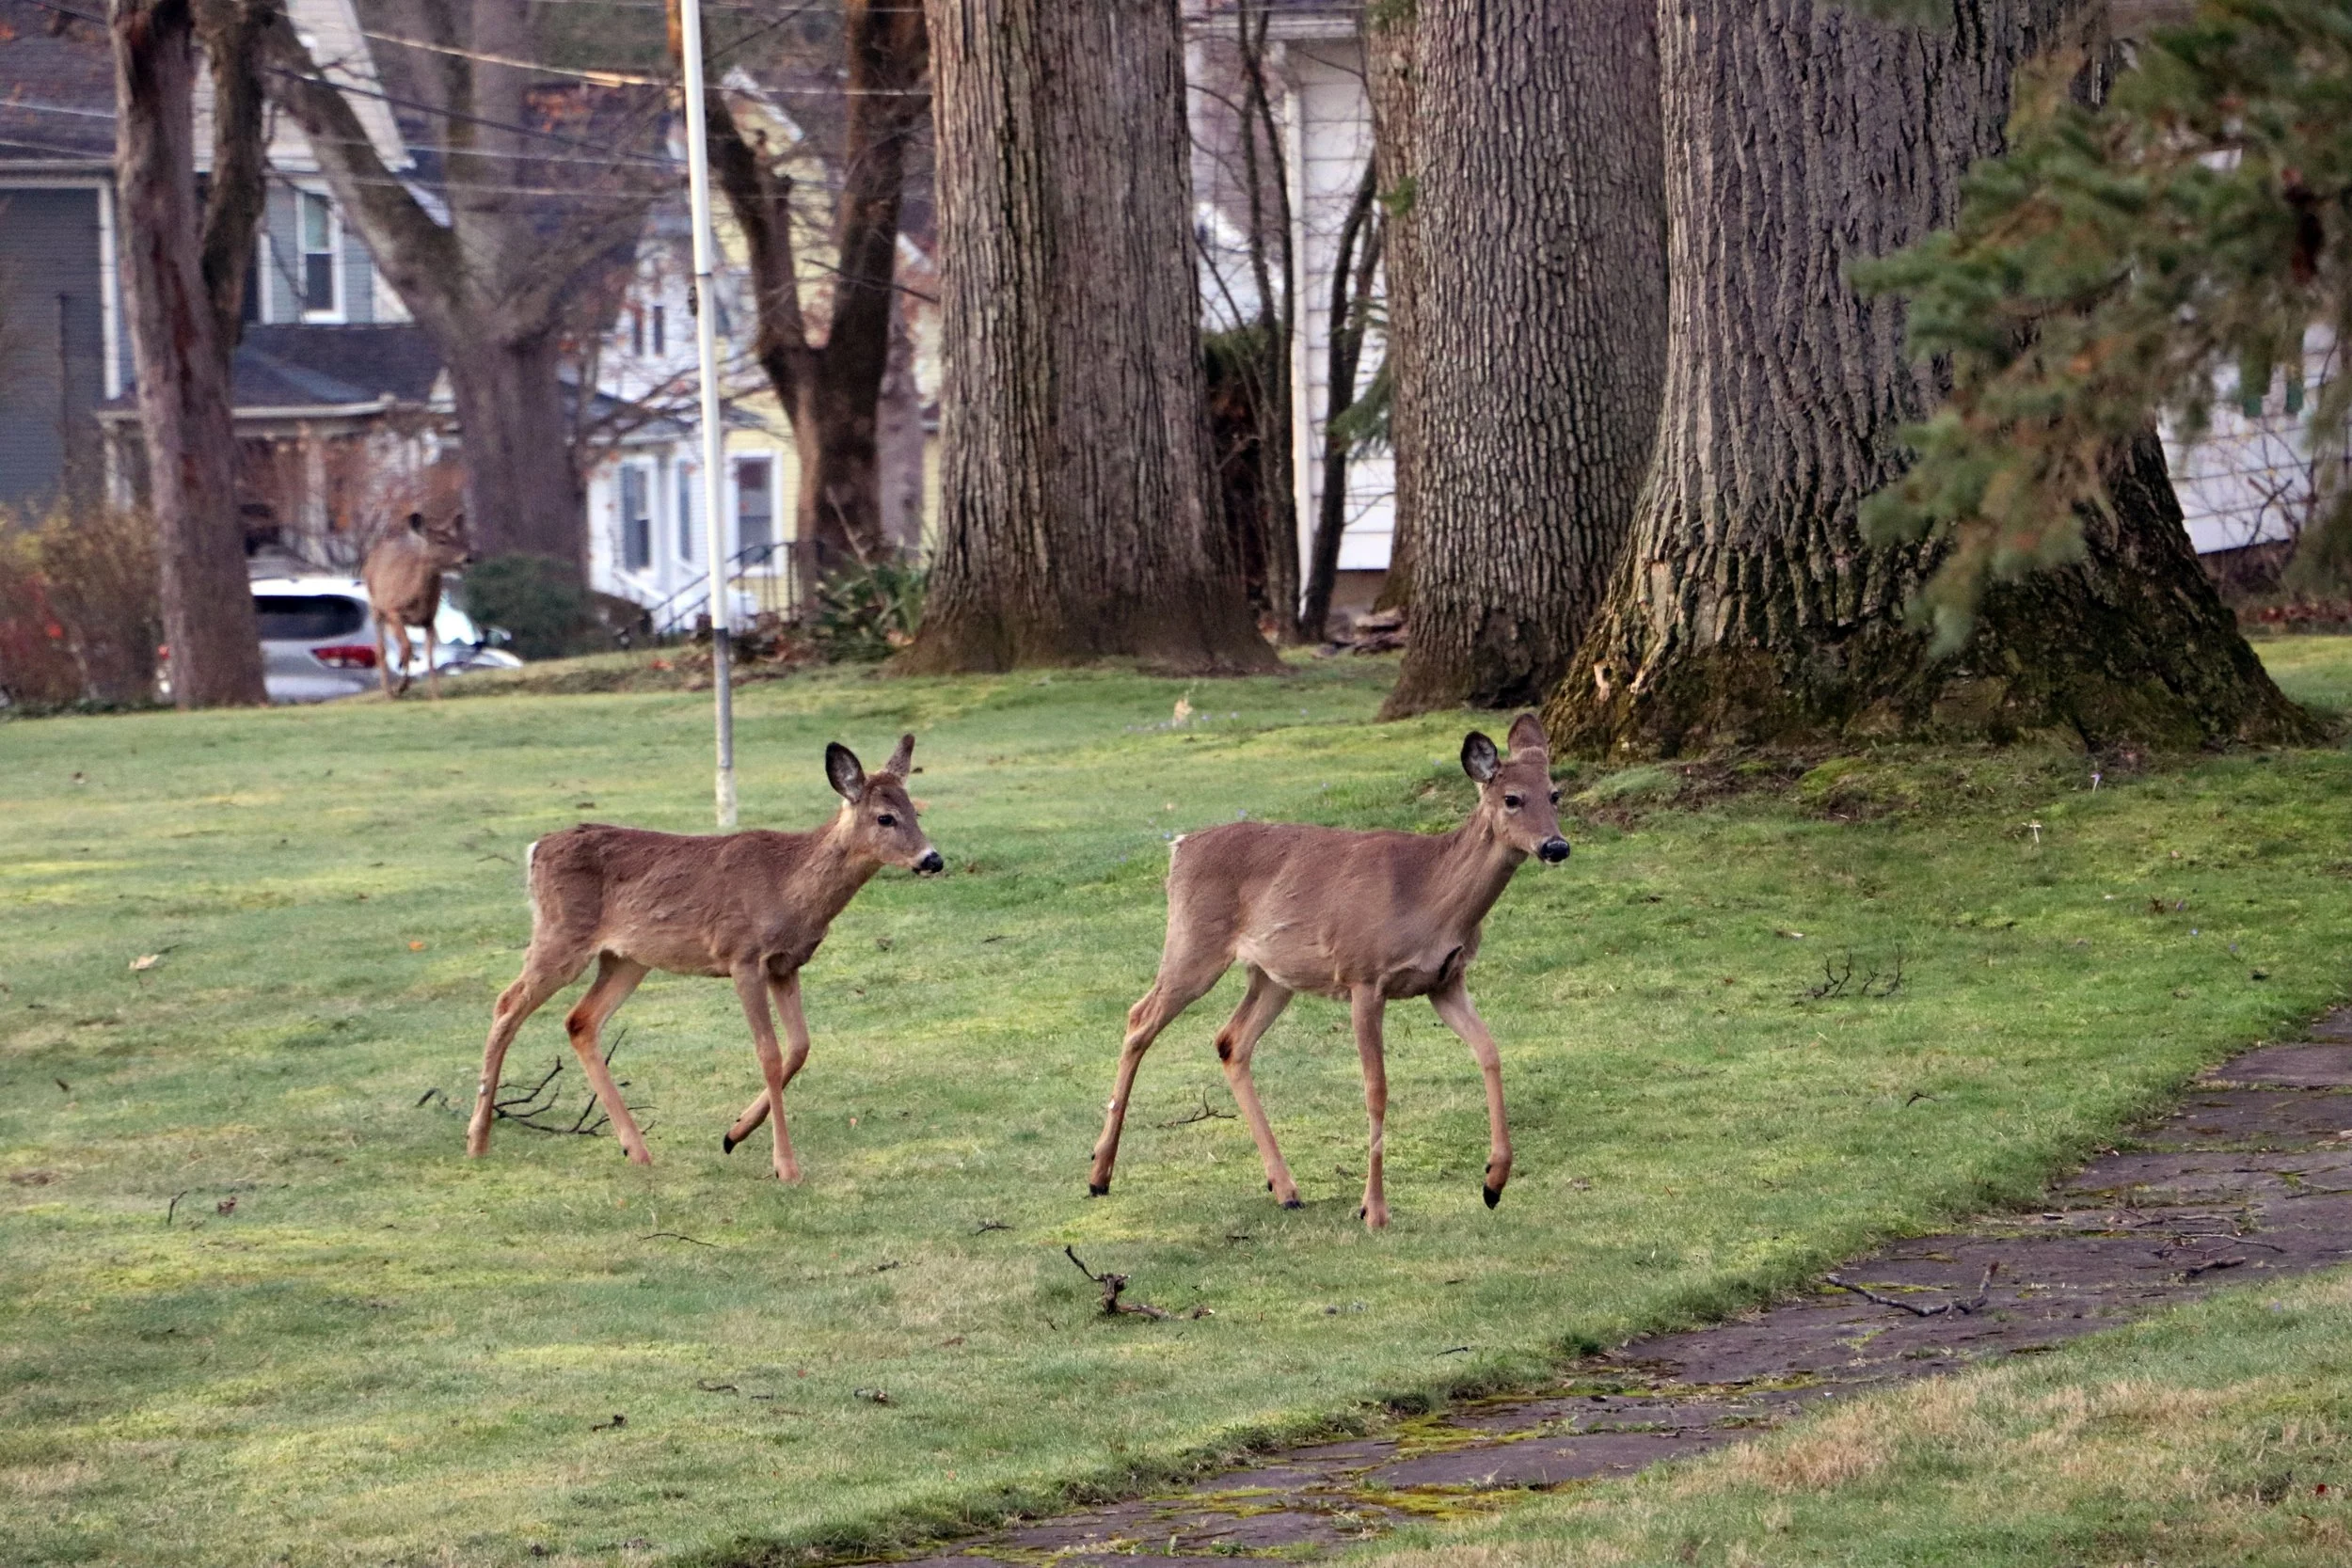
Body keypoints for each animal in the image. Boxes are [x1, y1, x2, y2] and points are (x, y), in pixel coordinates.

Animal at [361, 510, 473, 699]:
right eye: (441, 541)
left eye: (458, 538)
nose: (468, 558)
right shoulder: (393, 610)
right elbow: (407, 646)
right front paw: (401, 682)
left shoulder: (429, 619)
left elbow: (430, 657)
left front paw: (435, 695)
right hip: (376, 609)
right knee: (381, 650)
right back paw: (389, 692)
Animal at [465, 734, 944, 1181]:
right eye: (885, 817)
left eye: (916, 811)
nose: (932, 859)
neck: (789, 886)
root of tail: (535, 850)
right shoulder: (742, 956)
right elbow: (769, 1054)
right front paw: (785, 1167)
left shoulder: (785, 964)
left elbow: (800, 1047)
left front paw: (735, 1133)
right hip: (562, 935)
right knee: (507, 1004)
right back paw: (478, 1139)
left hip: (626, 958)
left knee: (579, 1020)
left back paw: (635, 1149)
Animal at [1087, 712, 1570, 1230]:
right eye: (1512, 798)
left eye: (1554, 793)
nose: (1556, 846)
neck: (1428, 896)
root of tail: (1179, 847)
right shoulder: (1364, 976)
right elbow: (1376, 1089)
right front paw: (1374, 1210)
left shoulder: (1445, 981)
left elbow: (1491, 1052)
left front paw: (1493, 1182)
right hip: (1194, 943)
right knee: (1139, 1018)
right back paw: (1098, 1174)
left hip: (1273, 975)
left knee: (1230, 1040)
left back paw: (1285, 1189)